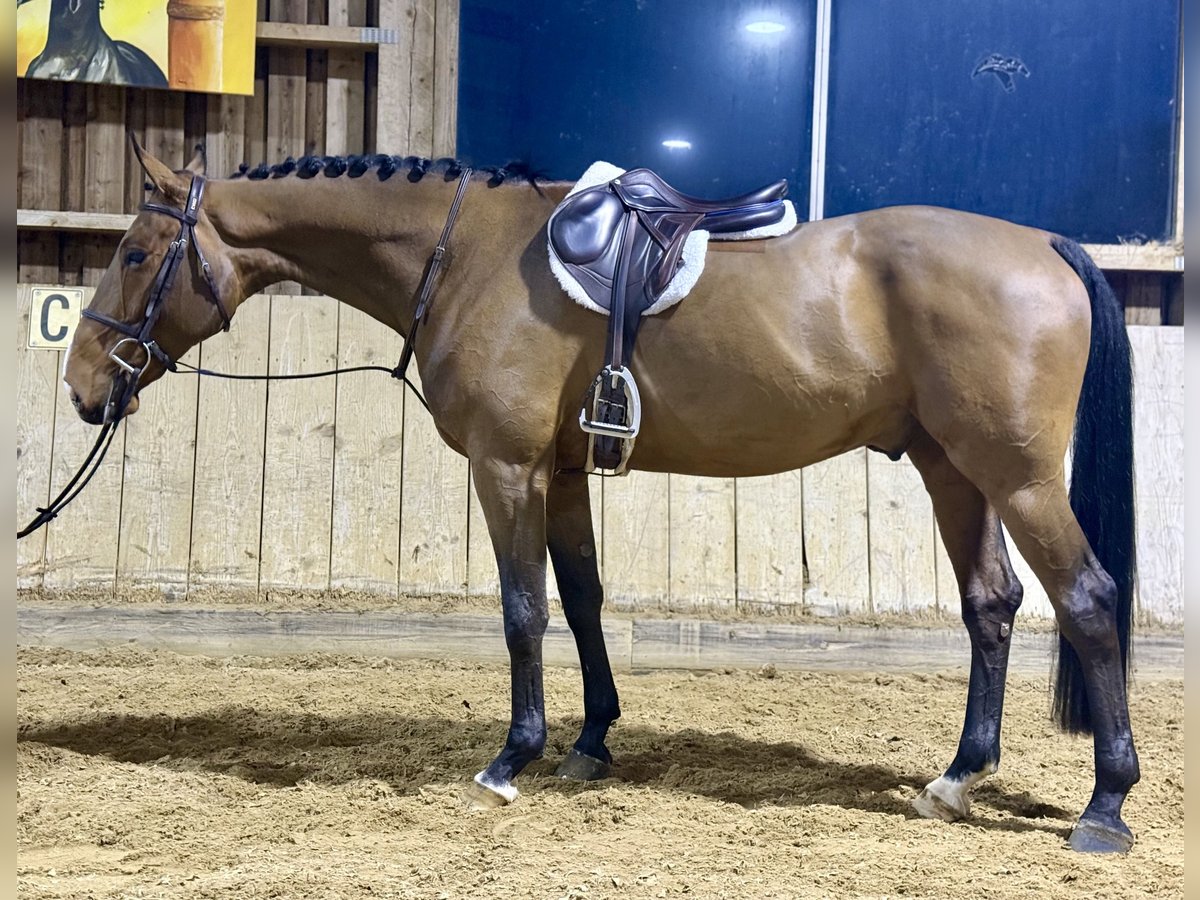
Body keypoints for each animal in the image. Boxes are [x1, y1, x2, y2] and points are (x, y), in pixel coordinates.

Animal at [61, 141, 1139, 854]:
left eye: (132, 254)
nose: (80, 386)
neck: (467, 255)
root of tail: (1044, 245)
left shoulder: (505, 468)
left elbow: (521, 610)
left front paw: (511, 759)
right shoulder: (567, 473)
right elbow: (580, 601)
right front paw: (588, 744)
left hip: (1015, 477)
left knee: (1087, 602)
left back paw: (1105, 808)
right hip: (955, 469)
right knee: (992, 605)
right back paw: (957, 779)